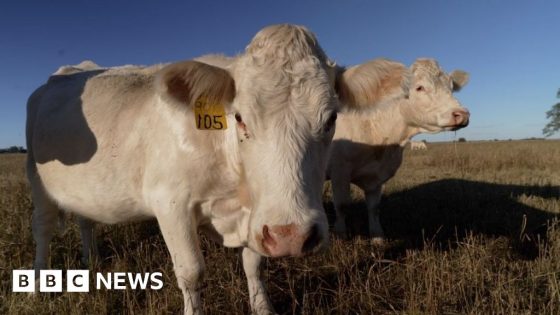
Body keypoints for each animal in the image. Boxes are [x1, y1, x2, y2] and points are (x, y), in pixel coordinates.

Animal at [25, 24, 394, 314]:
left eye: (331, 118)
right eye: (240, 117)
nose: (291, 236)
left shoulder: (254, 217)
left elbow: (253, 264)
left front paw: (262, 307)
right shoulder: (170, 203)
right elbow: (191, 272)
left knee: (85, 220)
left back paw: (91, 261)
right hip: (37, 179)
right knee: (42, 230)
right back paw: (39, 283)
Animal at [326, 58, 470, 243]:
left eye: (451, 88)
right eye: (420, 87)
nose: (462, 114)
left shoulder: (376, 177)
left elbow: (374, 207)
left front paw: (377, 237)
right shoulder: (339, 170)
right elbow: (342, 205)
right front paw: (339, 236)